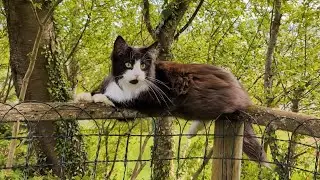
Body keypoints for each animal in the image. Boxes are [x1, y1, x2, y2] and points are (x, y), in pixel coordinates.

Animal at [75, 35, 268, 166]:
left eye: (143, 66)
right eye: (128, 64)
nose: (137, 75)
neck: (129, 86)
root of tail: (240, 88)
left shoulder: (155, 99)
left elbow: (125, 102)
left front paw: (101, 97)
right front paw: (87, 95)